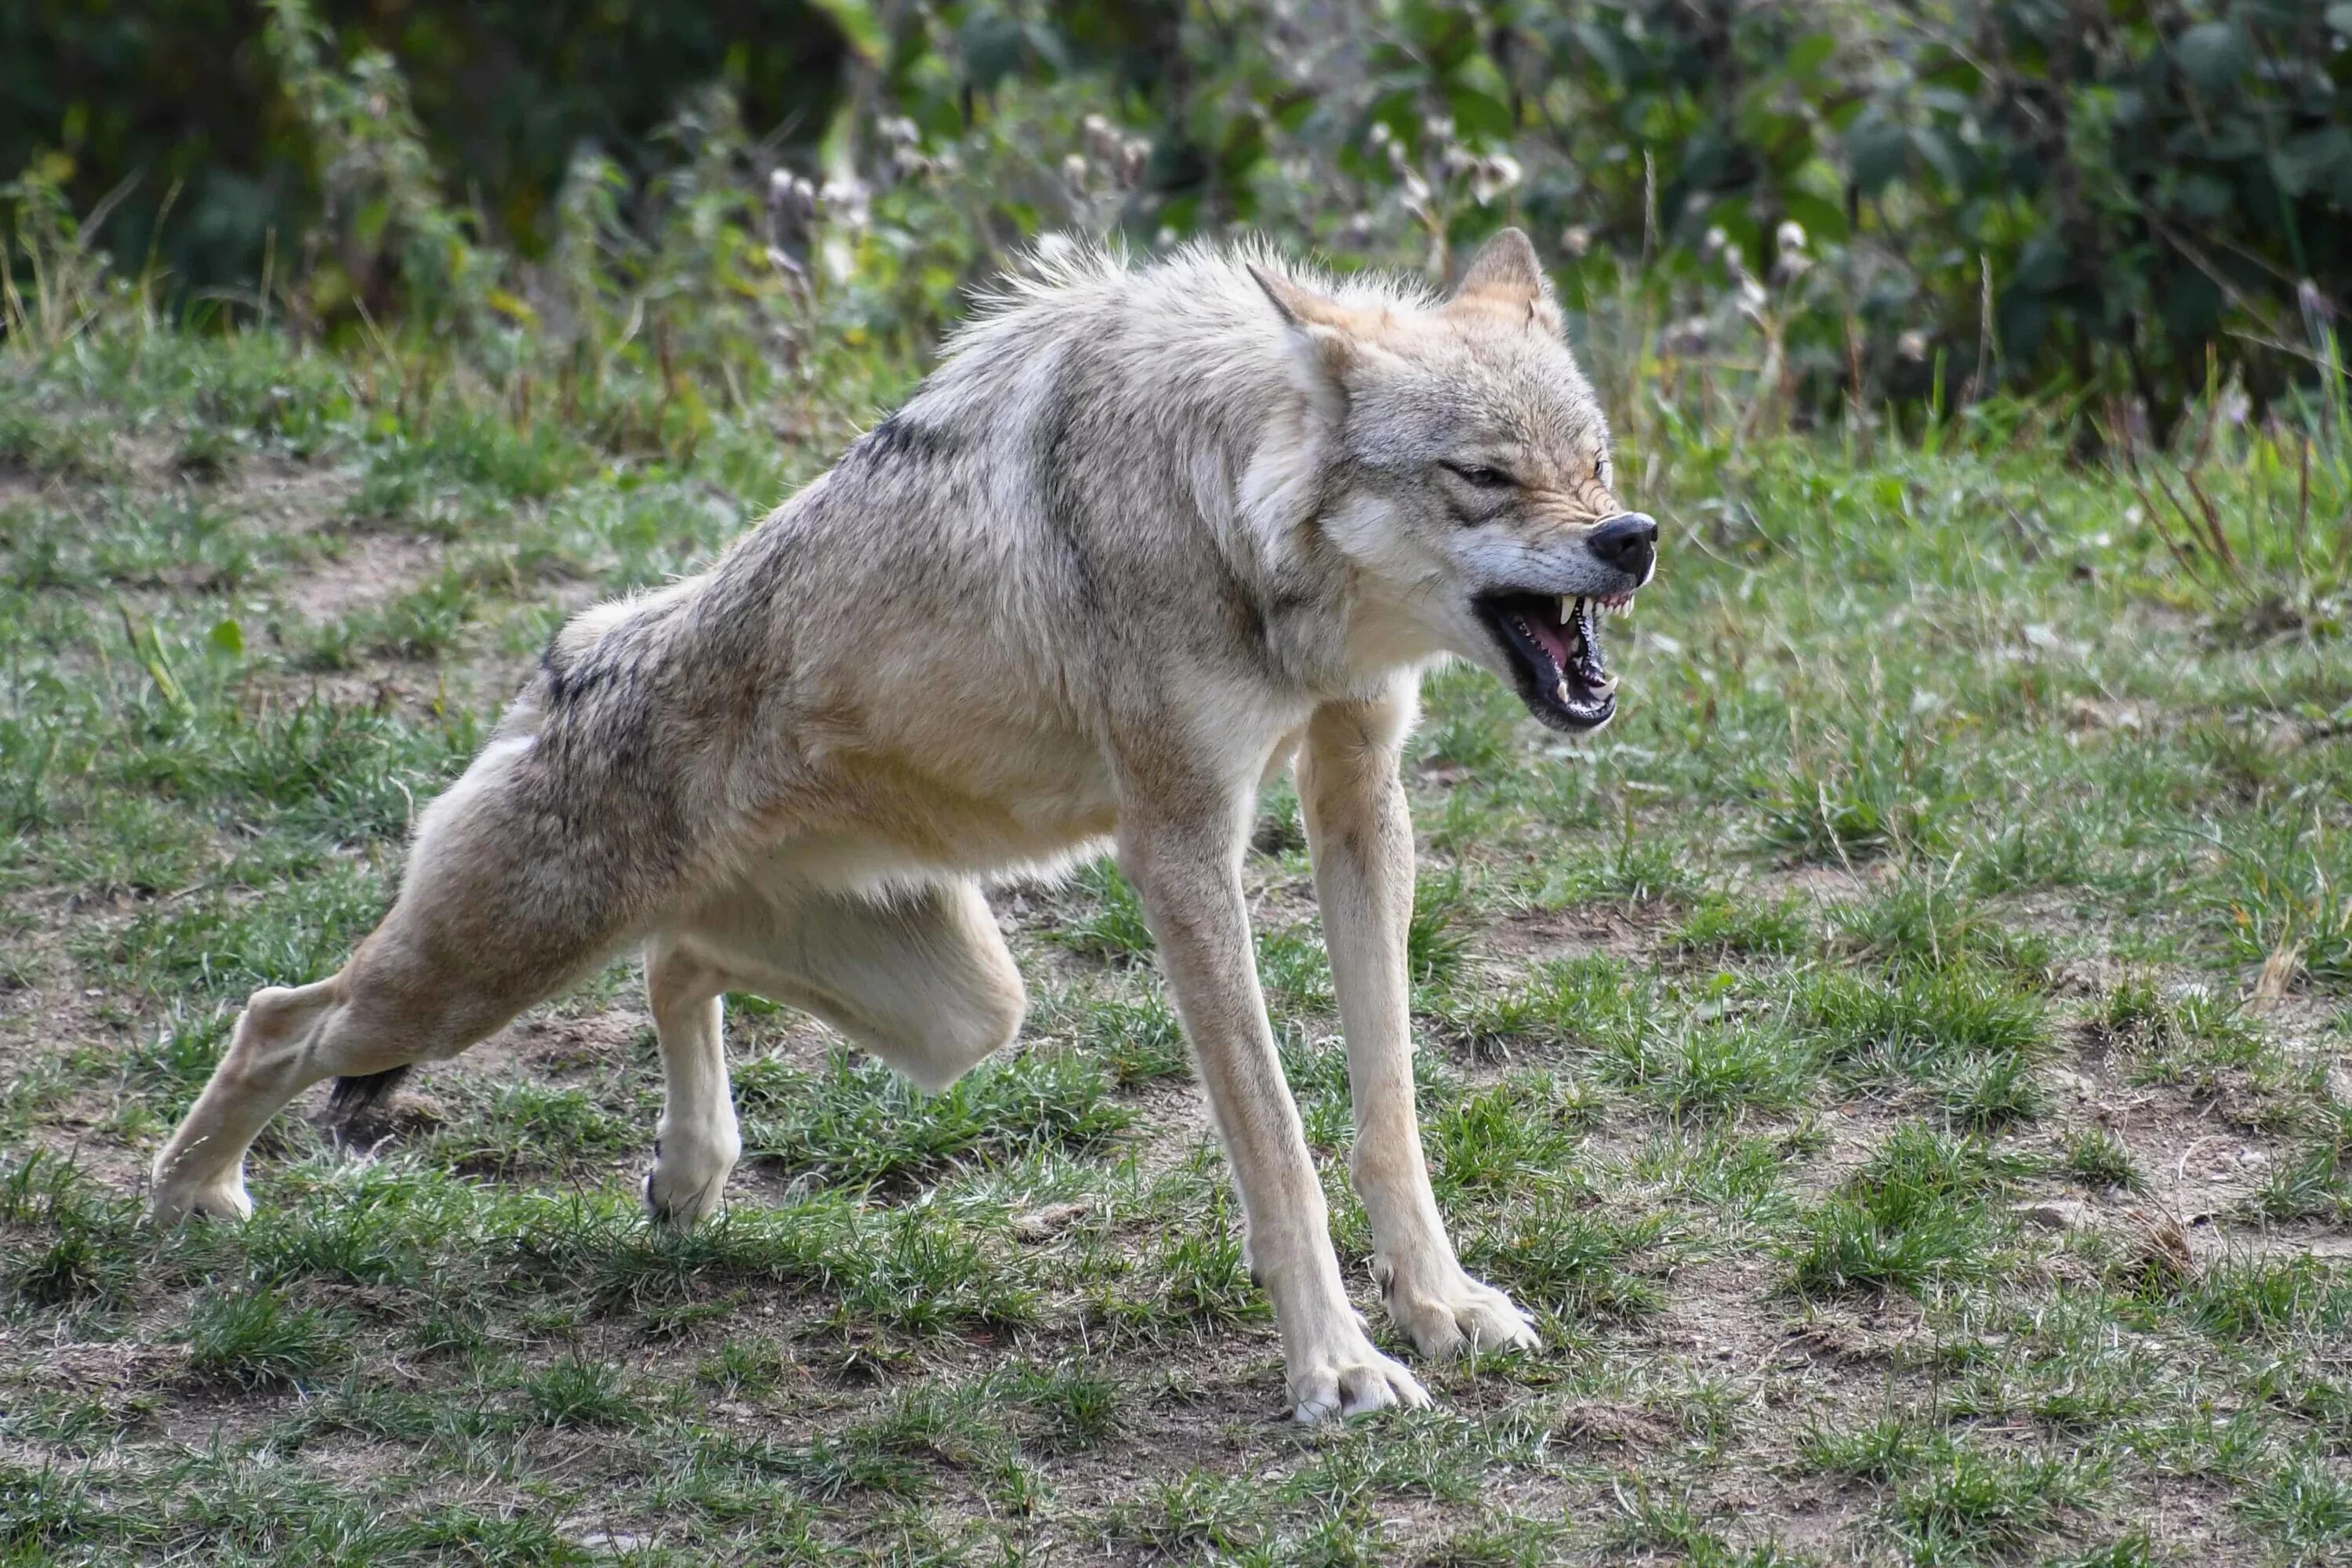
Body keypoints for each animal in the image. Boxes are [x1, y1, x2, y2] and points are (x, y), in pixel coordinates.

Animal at [147, 230, 1656, 1420]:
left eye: (1593, 461)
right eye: (1483, 477)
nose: (1631, 538)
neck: (1227, 509)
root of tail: (566, 656)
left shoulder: (1359, 797)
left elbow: (1387, 1108)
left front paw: (1442, 1307)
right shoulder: (1180, 847)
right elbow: (1278, 1139)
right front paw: (1336, 1369)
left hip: (963, 1013)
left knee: (676, 962)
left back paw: (688, 1177)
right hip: (466, 983)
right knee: (279, 1016)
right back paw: (186, 1205)